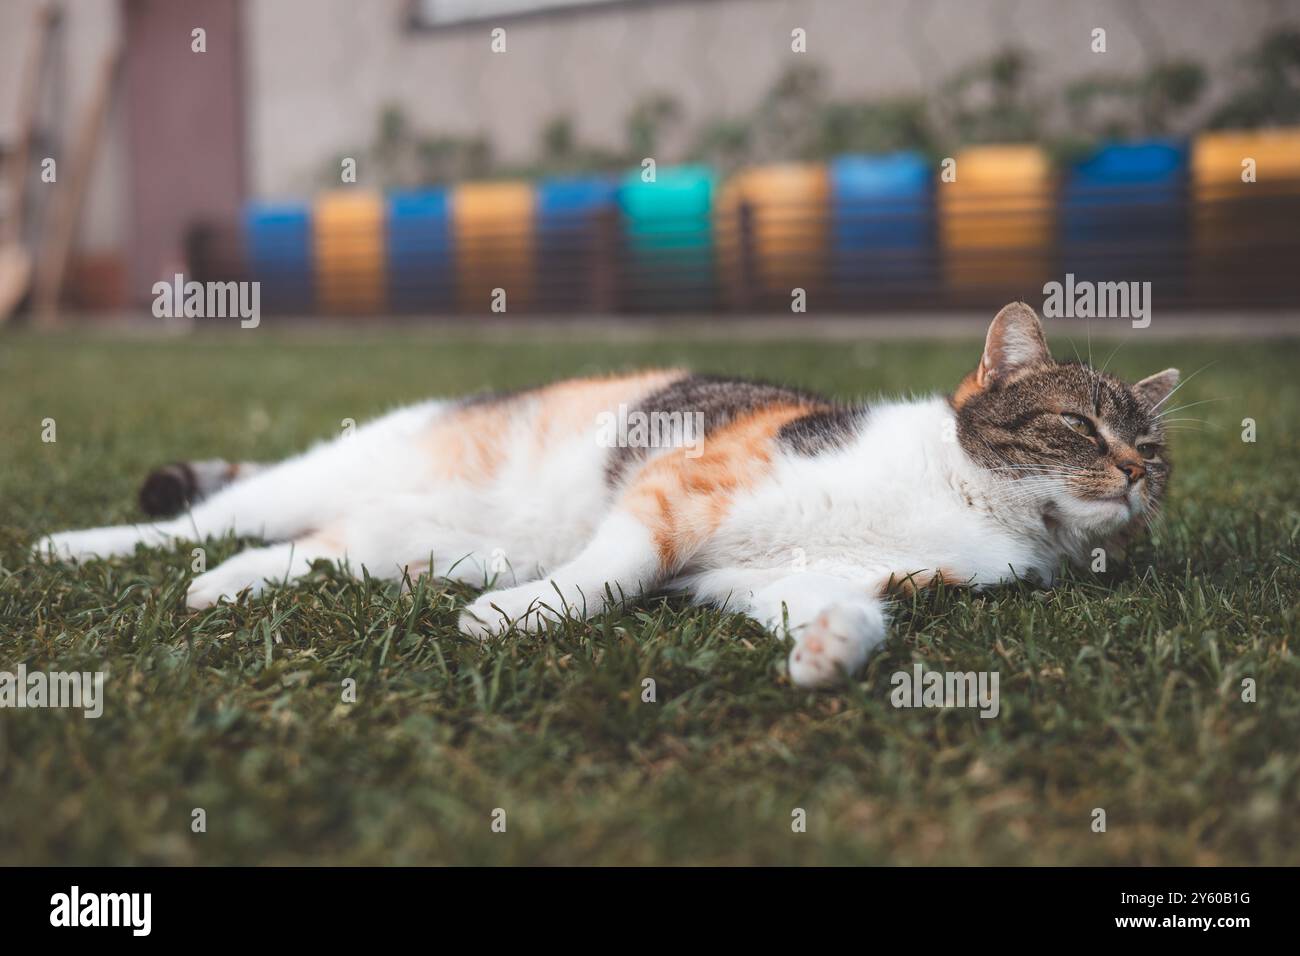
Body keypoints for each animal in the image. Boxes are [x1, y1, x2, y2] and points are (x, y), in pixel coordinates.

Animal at [38, 304, 1180, 686]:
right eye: (1079, 426)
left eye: (1154, 450)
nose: (1131, 476)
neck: (974, 504)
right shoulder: (681, 487)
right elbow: (616, 569)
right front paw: (515, 620)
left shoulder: (784, 576)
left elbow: (848, 610)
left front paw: (828, 654)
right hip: (337, 470)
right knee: (203, 518)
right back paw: (70, 548)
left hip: (397, 541)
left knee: (298, 547)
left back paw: (221, 589)